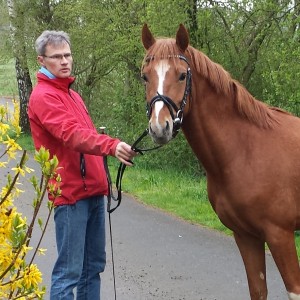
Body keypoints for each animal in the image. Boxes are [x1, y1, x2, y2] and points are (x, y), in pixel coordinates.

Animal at [141, 24, 300, 300]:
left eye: (182, 76)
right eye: (145, 77)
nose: (160, 128)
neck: (246, 151)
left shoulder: (281, 236)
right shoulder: (246, 236)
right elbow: (258, 290)